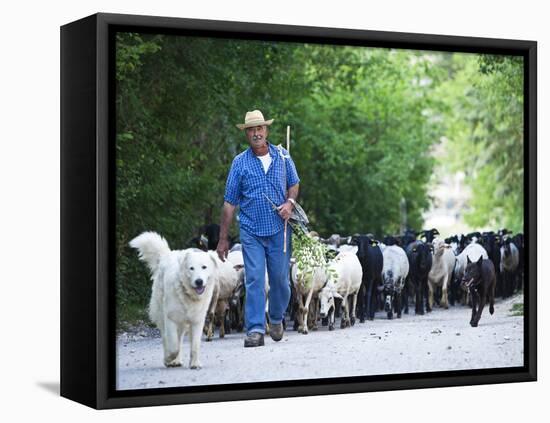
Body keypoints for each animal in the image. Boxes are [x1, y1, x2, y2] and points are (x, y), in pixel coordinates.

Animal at [130, 234, 219, 370]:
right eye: (191, 268)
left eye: (204, 267)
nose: (199, 281)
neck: (187, 294)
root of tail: (166, 255)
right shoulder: (171, 318)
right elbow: (173, 345)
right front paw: (168, 359)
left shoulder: (197, 320)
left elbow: (195, 345)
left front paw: (194, 364)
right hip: (162, 314)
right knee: (167, 338)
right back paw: (172, 360)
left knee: (180, 338)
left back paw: (177, 361)